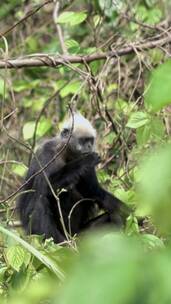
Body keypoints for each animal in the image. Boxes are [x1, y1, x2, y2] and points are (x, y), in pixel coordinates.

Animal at [17, 113, 130, 243]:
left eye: (90, 140)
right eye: (83, 140)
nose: (89, 146)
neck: (67, 154)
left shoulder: (88, 170)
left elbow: (95, 192)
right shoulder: (47, 153)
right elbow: (43, 186)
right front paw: (85, 161)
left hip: (81, 235)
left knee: (114, 217)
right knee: (39, 201)